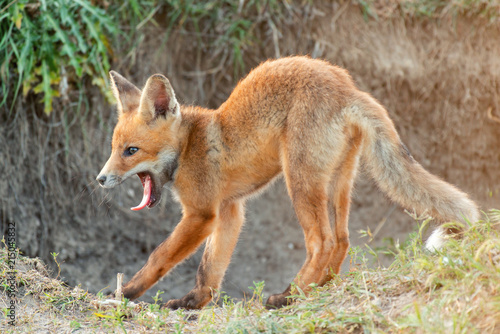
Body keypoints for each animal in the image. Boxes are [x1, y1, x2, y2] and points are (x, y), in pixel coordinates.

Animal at [95, 56, 478, 310]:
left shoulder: (201, 214)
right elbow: (210, 268)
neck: (189, 145)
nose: (99, 179)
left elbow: (159, 257)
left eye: (131, 151)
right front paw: (193, 301)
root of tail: (346, 86)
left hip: (300, 182)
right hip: (339, 183)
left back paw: (290, 295)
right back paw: (322, 287)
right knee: (342, 240)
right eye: (114, 148)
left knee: (322, 242)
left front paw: (126, 292)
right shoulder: (230, 211)